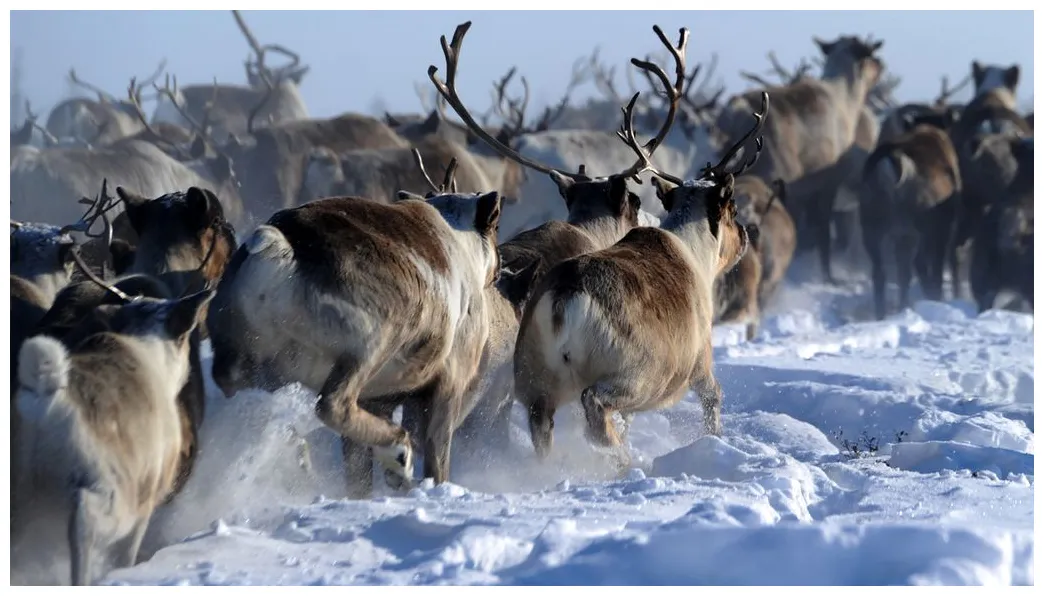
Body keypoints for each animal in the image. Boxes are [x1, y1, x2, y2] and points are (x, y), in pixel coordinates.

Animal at [513, 89, 768, 469]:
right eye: (732, 208)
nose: (746, 234)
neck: (694, 249)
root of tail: (564, 297)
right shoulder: (699, 359)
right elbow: (714, 396)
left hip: (533, 380)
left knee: (542, 424)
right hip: (637, 375)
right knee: (595, 406)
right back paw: (625, 461)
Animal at [715, 35, 884, 285]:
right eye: (870, 54)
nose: (881, 65)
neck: (847, 102)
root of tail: (734, 113)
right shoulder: (825, 183)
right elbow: (821, 232)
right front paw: (828, 275)